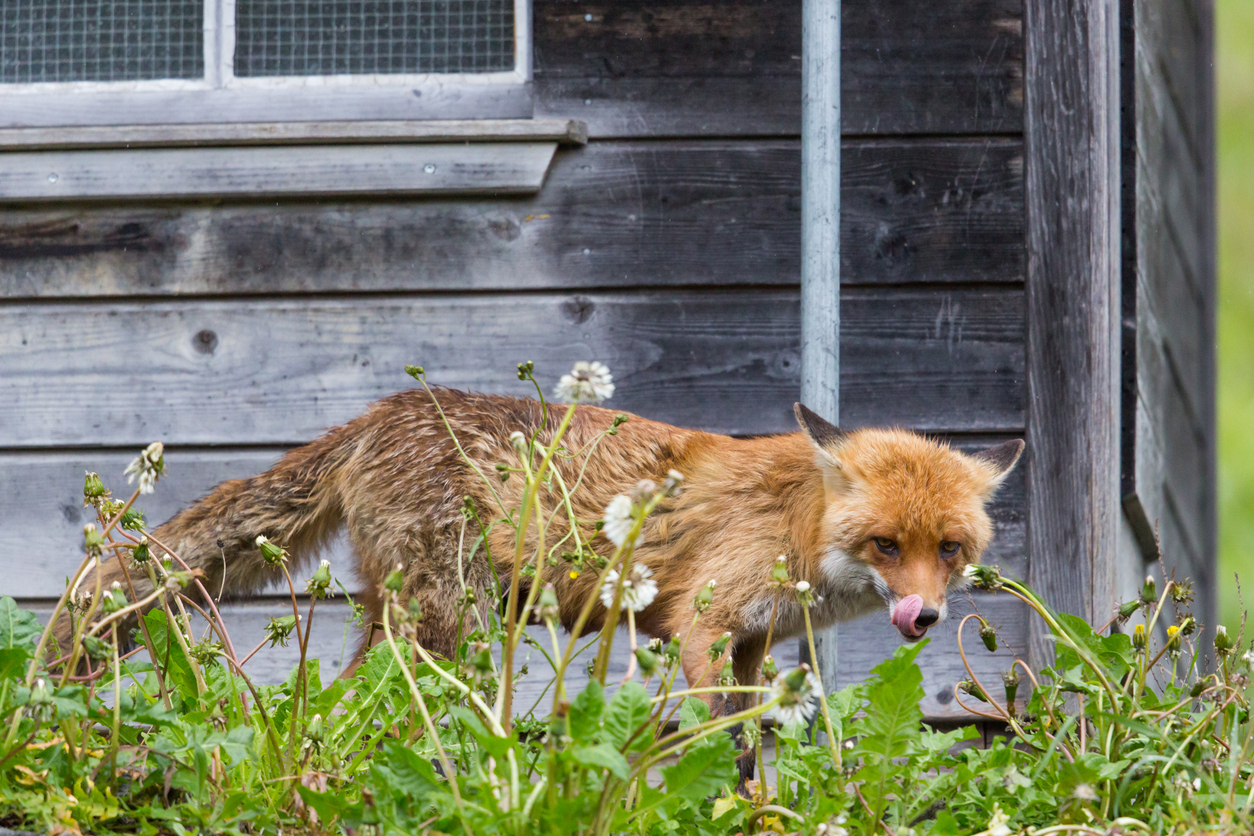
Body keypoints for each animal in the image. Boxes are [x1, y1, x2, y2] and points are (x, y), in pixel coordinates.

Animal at [67, 387, 1022, 736]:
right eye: (885, 546)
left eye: (950, 550)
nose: (925, 616)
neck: (793, 524)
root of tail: (383, 410)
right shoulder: (702, 627)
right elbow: (722, 737)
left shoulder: (754, 645)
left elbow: (753, 743)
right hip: (444, 627)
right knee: (358, 712)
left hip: (406, 621)